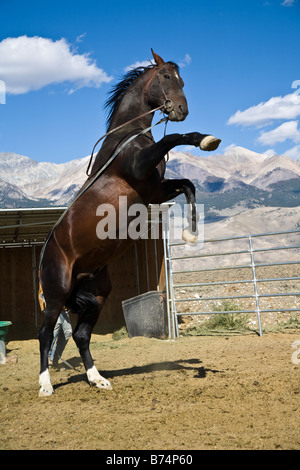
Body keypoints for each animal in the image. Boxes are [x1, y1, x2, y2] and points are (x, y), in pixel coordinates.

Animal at [38, 50, 220, 396]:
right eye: (166, 77)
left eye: (182, 80)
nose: (182, 110)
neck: (127, 137)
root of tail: (44, 255)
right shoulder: (141, 168)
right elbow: (175, 138)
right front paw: (206, 140)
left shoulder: (155, 190)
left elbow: (189, 185)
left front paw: (190, 234)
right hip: (56, 294)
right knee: (45, 334)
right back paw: (45, 385)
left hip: (95, 295)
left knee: (81, 335)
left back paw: (97, 378)